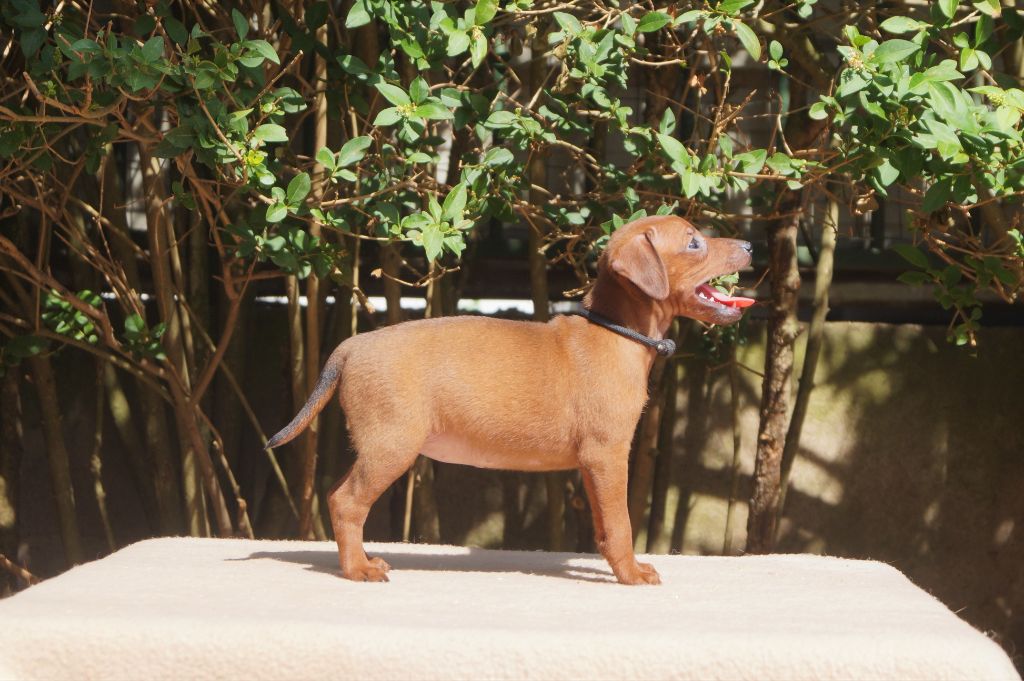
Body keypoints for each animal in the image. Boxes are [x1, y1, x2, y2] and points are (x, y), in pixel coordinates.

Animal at [267, 215, 753, 584]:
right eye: (693, 242)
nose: (749, 244)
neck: (617, 333)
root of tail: (351, 346)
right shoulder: (609, 454)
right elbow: (621, 524)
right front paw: (631, 574)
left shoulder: (592, 463)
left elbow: (603, 526)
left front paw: (617, 566)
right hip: (391, 445)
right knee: (346, 502)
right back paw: (357, 569)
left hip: (378, 446)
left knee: (338, 496)